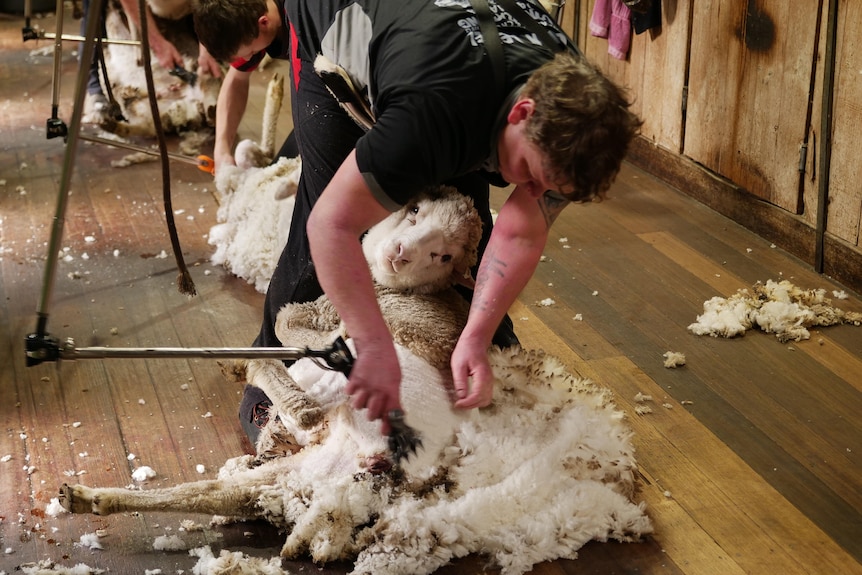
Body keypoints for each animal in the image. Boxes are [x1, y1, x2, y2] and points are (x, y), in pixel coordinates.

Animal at [57, 188, 652, 575]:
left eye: (445, 253)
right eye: (413, 208)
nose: (399, 254)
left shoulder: (368, 330)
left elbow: (285, 325)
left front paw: (288, 370)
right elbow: (285, 330)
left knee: (280, 417)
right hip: (282, 480)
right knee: (206, 492)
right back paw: (84, 496)